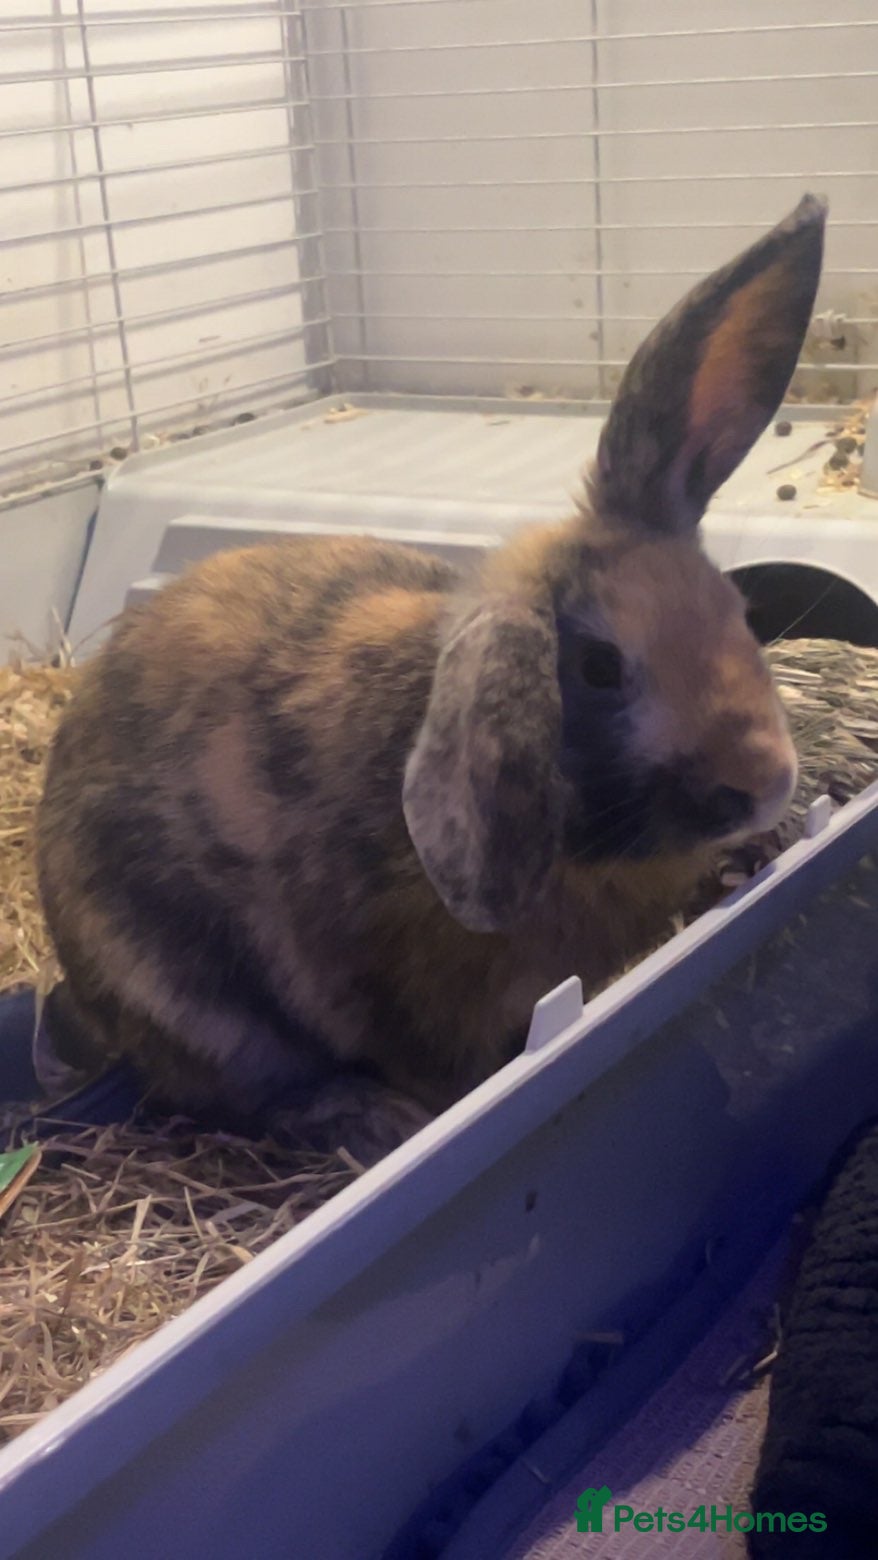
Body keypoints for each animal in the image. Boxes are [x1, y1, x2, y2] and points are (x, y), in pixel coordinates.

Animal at [36, 195, 826, 1165]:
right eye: (600, 667)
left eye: (738, 613)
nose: (765, 784)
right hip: (186, 995)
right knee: (250, 1088)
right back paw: (369, 1116)